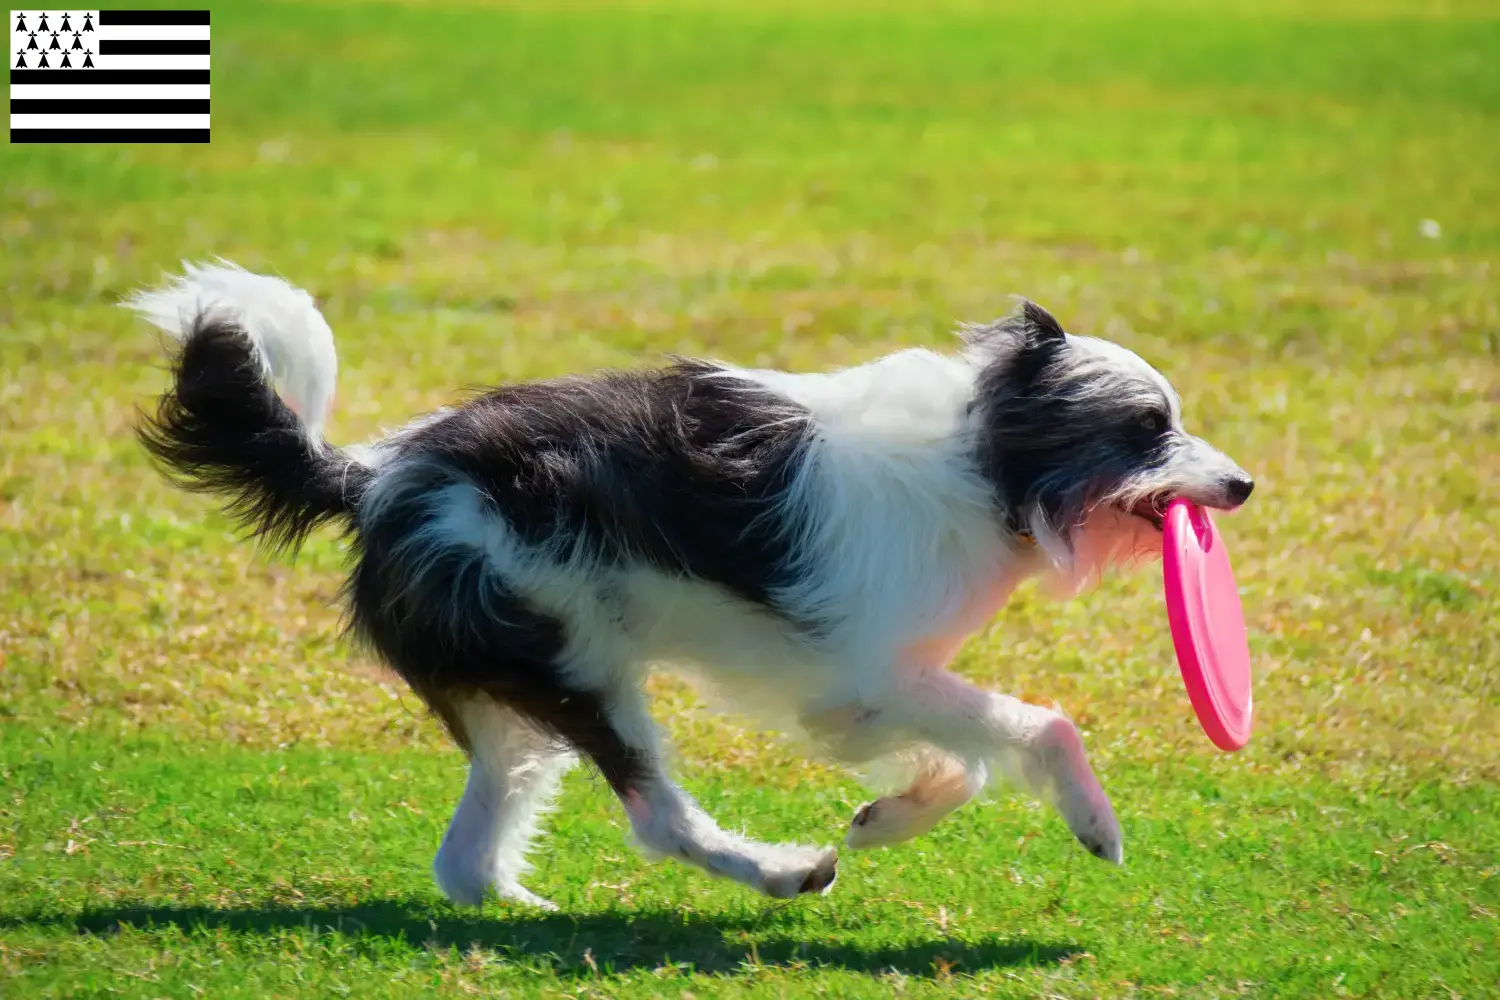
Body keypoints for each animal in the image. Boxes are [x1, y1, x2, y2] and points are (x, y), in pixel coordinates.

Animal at [129, 262, 1254, 911]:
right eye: (1146, 427)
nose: (1243, 484)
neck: (984, 461)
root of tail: (378, 476)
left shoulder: (857, 692)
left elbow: (962, 764)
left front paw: (890, 814)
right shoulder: (869, 674)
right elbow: (1041, 726)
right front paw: (1093, 822)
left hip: (519, 696)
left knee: (468, 856)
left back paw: (518, 909)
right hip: (577, 664)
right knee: (657, 821)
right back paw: (780, 871)